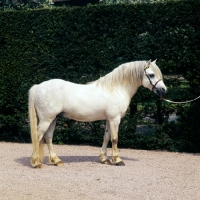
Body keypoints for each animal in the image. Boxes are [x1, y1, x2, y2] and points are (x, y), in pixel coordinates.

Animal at [28, 59, 166, 167]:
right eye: (151, 75)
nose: (163, 90)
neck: (116, 89)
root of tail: (39, 86)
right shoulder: (115, 119)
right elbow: (115, 139)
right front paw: (117, 160)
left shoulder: (109, 119)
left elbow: (106, 137)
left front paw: (104, 159)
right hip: (46, 120)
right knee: (37, 136)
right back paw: (35, 162)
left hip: (53, 119)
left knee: (48, 137)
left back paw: (56, 160)